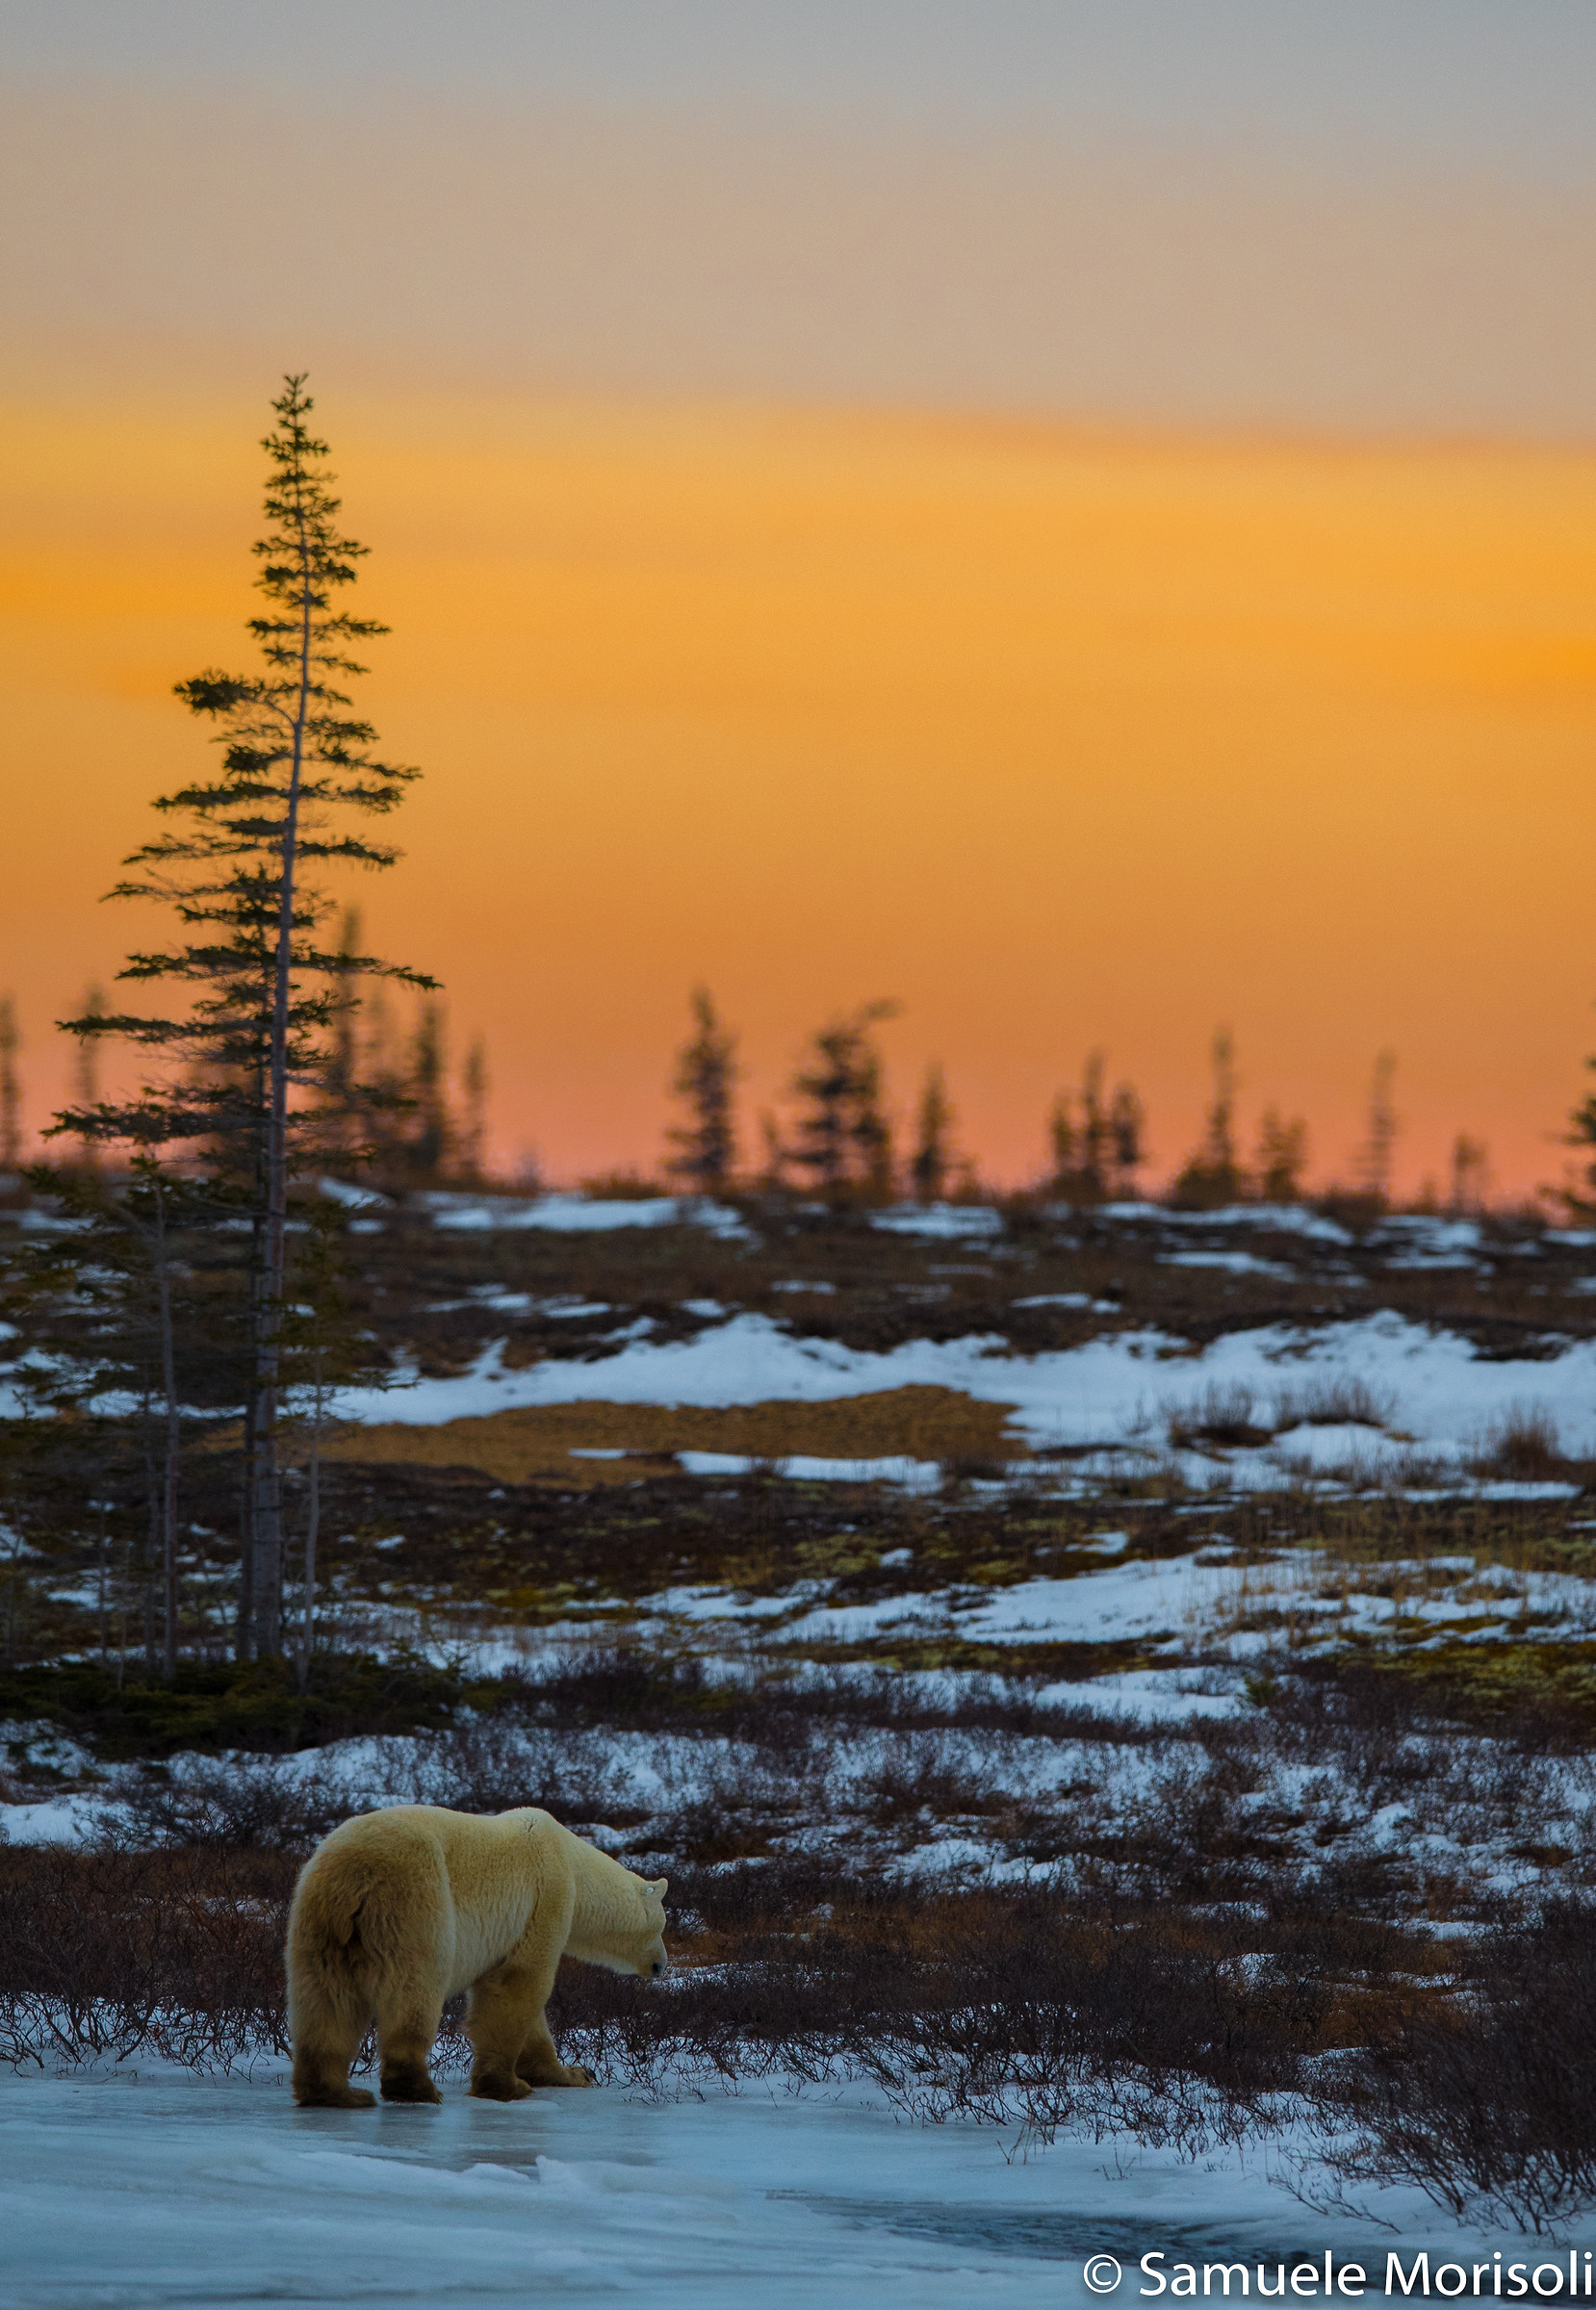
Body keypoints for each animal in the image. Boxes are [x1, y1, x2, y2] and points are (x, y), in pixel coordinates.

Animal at [286, 1803, 668, 2109]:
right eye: (662, 1925)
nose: (662, 1965)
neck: (573, 1863)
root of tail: (356, 1870)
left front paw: (572, 2072)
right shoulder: (544, 1898)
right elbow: (518, 1984)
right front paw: (507, 2086)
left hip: (319, 1922)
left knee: (326, 1999)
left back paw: (336, 2093)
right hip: (413, 1901)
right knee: (414, 1987)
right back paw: (416, 2088)